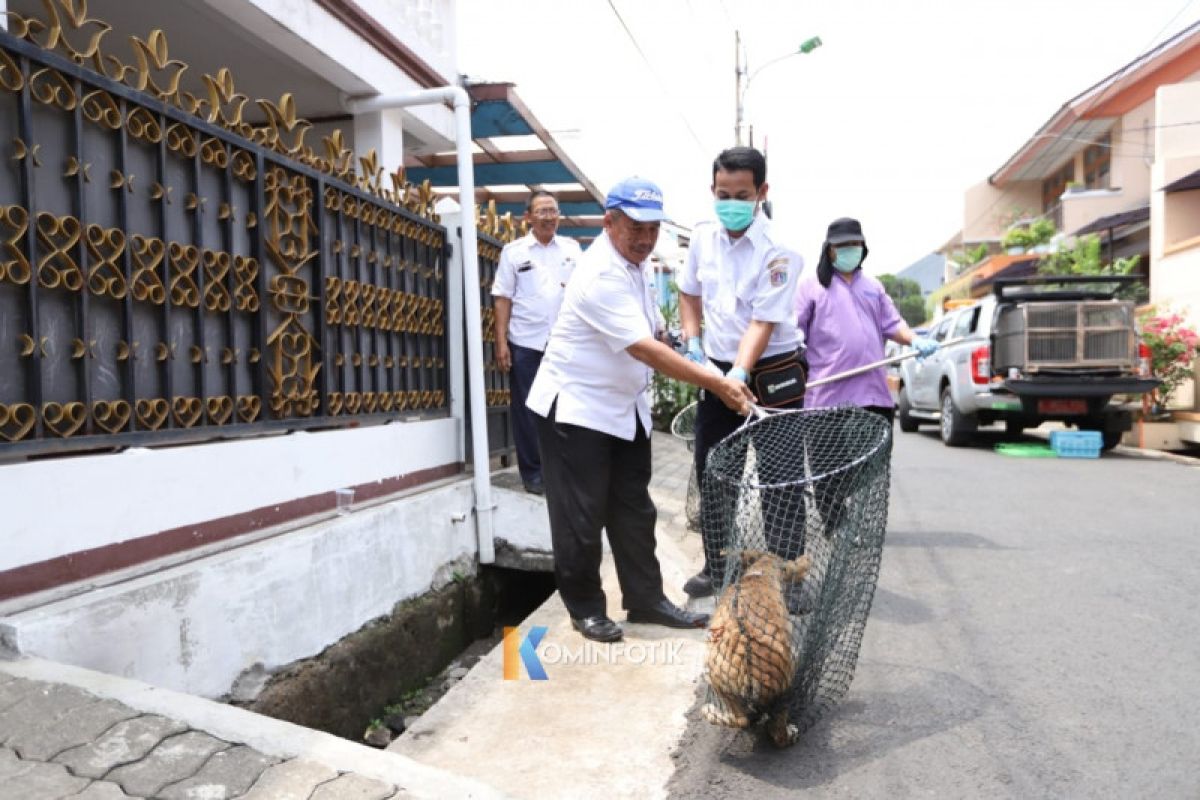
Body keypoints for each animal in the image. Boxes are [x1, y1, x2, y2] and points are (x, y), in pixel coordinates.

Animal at [700, 551, 811, 743]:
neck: (762, 572)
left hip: (717, 676)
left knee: (741, 720)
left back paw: (711, 712)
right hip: (787, 677)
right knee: (777, 733)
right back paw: (788, 733)